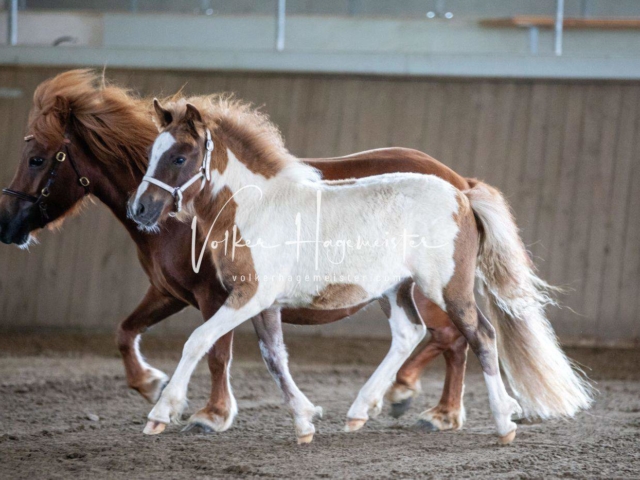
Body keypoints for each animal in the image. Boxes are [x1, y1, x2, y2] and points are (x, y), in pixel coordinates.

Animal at [0, 70, 470, 432]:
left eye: (38, 158)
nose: (7, 224)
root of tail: (457, 182)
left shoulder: (217, 294)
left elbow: (215, 352)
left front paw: (210, 414)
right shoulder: (170, 292)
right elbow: (126, 330)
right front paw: (151, 384)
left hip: (430, 290)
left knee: (452, 338)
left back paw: (431, 408)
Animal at [130, 95, 596, 444]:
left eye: (179, 157)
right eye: (151, 153)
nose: (140, 209)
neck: (256, 209)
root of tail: (463, 193)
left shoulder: (248, 296)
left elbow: (199, 342)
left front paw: (161, 414)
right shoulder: (263, 303)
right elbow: (274, 357)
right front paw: (304, 421)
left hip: (447, 288)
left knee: (479, 335)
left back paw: (501, 423)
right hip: (396, 290)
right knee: (409, 333)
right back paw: (361, 411)